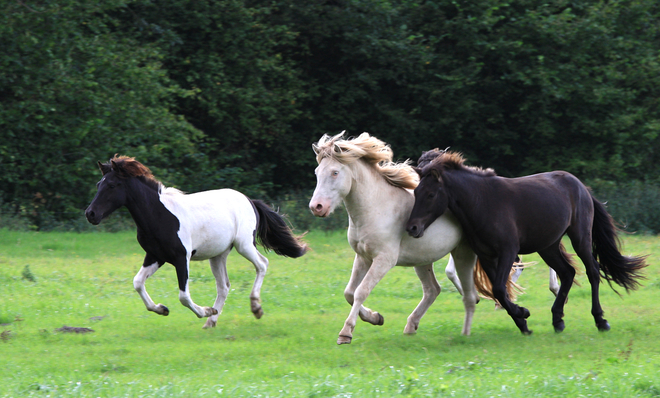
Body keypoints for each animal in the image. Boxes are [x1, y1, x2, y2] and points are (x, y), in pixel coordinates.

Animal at [84, 155, 306, 326]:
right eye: (98, 184)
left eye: (112, 185)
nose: (91, 214)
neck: (159, 215)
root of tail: (250, 200)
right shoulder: (155, 256)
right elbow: (137, 282)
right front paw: (162, 309)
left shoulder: (181, 257)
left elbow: (183, 296)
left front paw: (204, 311)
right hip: (218, 255)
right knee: (224, 286)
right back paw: (211, 322)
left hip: (243, 245)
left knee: (262, 264)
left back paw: (255, 308)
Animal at [310, 132, 496, 344]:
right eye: (317, 172)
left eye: (334, 172)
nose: (316, 207)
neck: (376, 208)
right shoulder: (363, 257)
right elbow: (349, 293)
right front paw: (376, 318)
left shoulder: (384, 260)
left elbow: (361, 291)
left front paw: (346, 332)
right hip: (423, 260)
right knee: (433, 290)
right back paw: (411, 326)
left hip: (463, 254)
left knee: (467, 292)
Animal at [404, 151, 648, 334]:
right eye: (416, 191)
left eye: (431, 194)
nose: (412, 228)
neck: (484, 202)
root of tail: (581, 187)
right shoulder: (486, 256)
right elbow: (500, 290)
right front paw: (522, 320)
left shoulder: (508, 252)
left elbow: (500, 288)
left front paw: (522, 315)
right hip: (548, 246)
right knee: (567, 273)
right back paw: (557, 320)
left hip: (580, 238)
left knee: (593, 271)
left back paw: (600, 321)